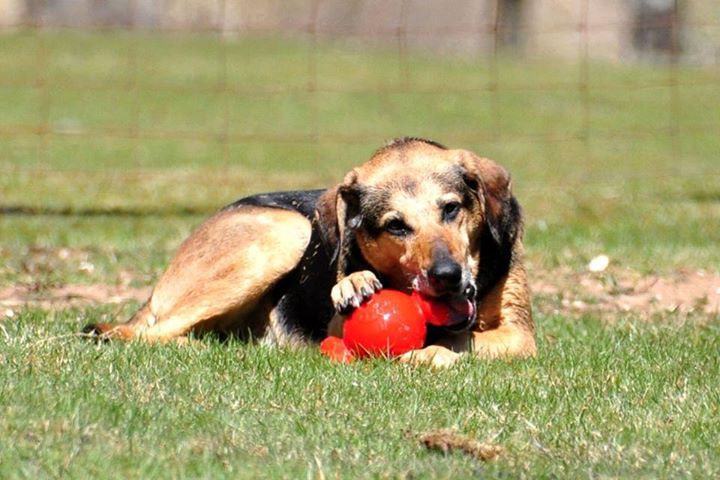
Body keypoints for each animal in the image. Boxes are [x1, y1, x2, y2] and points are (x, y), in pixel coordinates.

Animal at [86, 137, 536, 366]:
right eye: (396, 225)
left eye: (451, 209)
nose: (446, 275)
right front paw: (354, 283)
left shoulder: (521, 334)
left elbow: (461, 341)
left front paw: (434, 351)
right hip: (289, 231)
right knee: (141, 334)